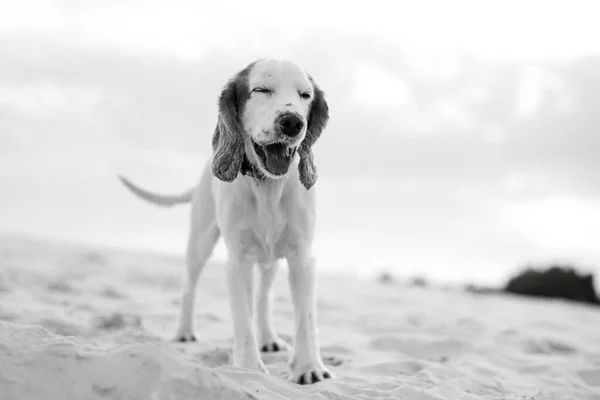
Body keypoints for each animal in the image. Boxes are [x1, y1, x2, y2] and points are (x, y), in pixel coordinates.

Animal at [117, 59, 332, 384]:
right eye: (261, 89)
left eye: (305, 95)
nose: (293, 122)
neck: (266, 187)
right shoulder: (238, 261)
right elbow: (242, 319)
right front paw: (248, 369)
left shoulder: (302, 258)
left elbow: (305, 318)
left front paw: (308, 368)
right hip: (201, 242)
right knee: (188, 285)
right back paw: (184, 332)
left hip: (270, 260)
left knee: (263, 297)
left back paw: (268, 338)